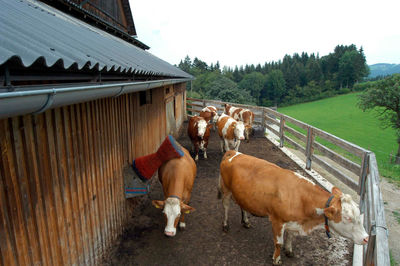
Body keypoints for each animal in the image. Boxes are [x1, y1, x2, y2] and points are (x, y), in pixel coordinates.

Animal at [219, 151, 368, 264]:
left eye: (359, 216)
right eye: (348, 218)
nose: (366, 238)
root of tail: (233, 152)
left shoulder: (293, 221)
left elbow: (290, 237)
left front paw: (289, 250)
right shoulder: (277, 221)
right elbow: (278, 243)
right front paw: (276, 259)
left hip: (242, 194)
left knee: (242, 206)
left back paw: (246, 222)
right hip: (226, 190)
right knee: (225, 206)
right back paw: (225, 225)